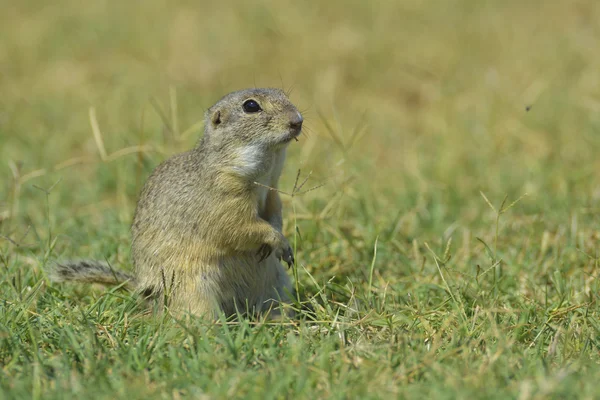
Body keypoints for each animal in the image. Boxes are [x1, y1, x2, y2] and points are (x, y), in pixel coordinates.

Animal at [51, 87, 302, 318]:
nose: (297, 120)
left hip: (278, 284)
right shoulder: (223, 202)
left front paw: (282, 243)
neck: (264, 173)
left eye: (283, 93)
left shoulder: (272, 195)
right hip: (194, 291)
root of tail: (145, 293)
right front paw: (277, 240)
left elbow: (275, 215)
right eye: (251, 106)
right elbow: (240, 227)